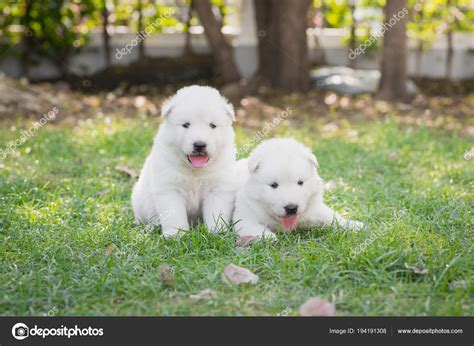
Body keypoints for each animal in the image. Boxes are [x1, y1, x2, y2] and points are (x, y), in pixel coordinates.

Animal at [131, 86, 237, 238]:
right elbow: (174, 215)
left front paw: (216, 232)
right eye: (186, 125)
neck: (195, 171)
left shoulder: (218, 188)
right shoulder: (169, 189)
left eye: (212, 125)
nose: (199, 145)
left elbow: (216, 212)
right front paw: (175, 235)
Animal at [233, 139, 362, 239]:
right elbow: (252, 226)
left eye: (300, 182)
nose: (291, 208)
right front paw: (267, 236)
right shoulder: (245, 216)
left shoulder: (315, 209)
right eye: (274, 185)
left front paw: (353, 224)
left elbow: (332, 216)